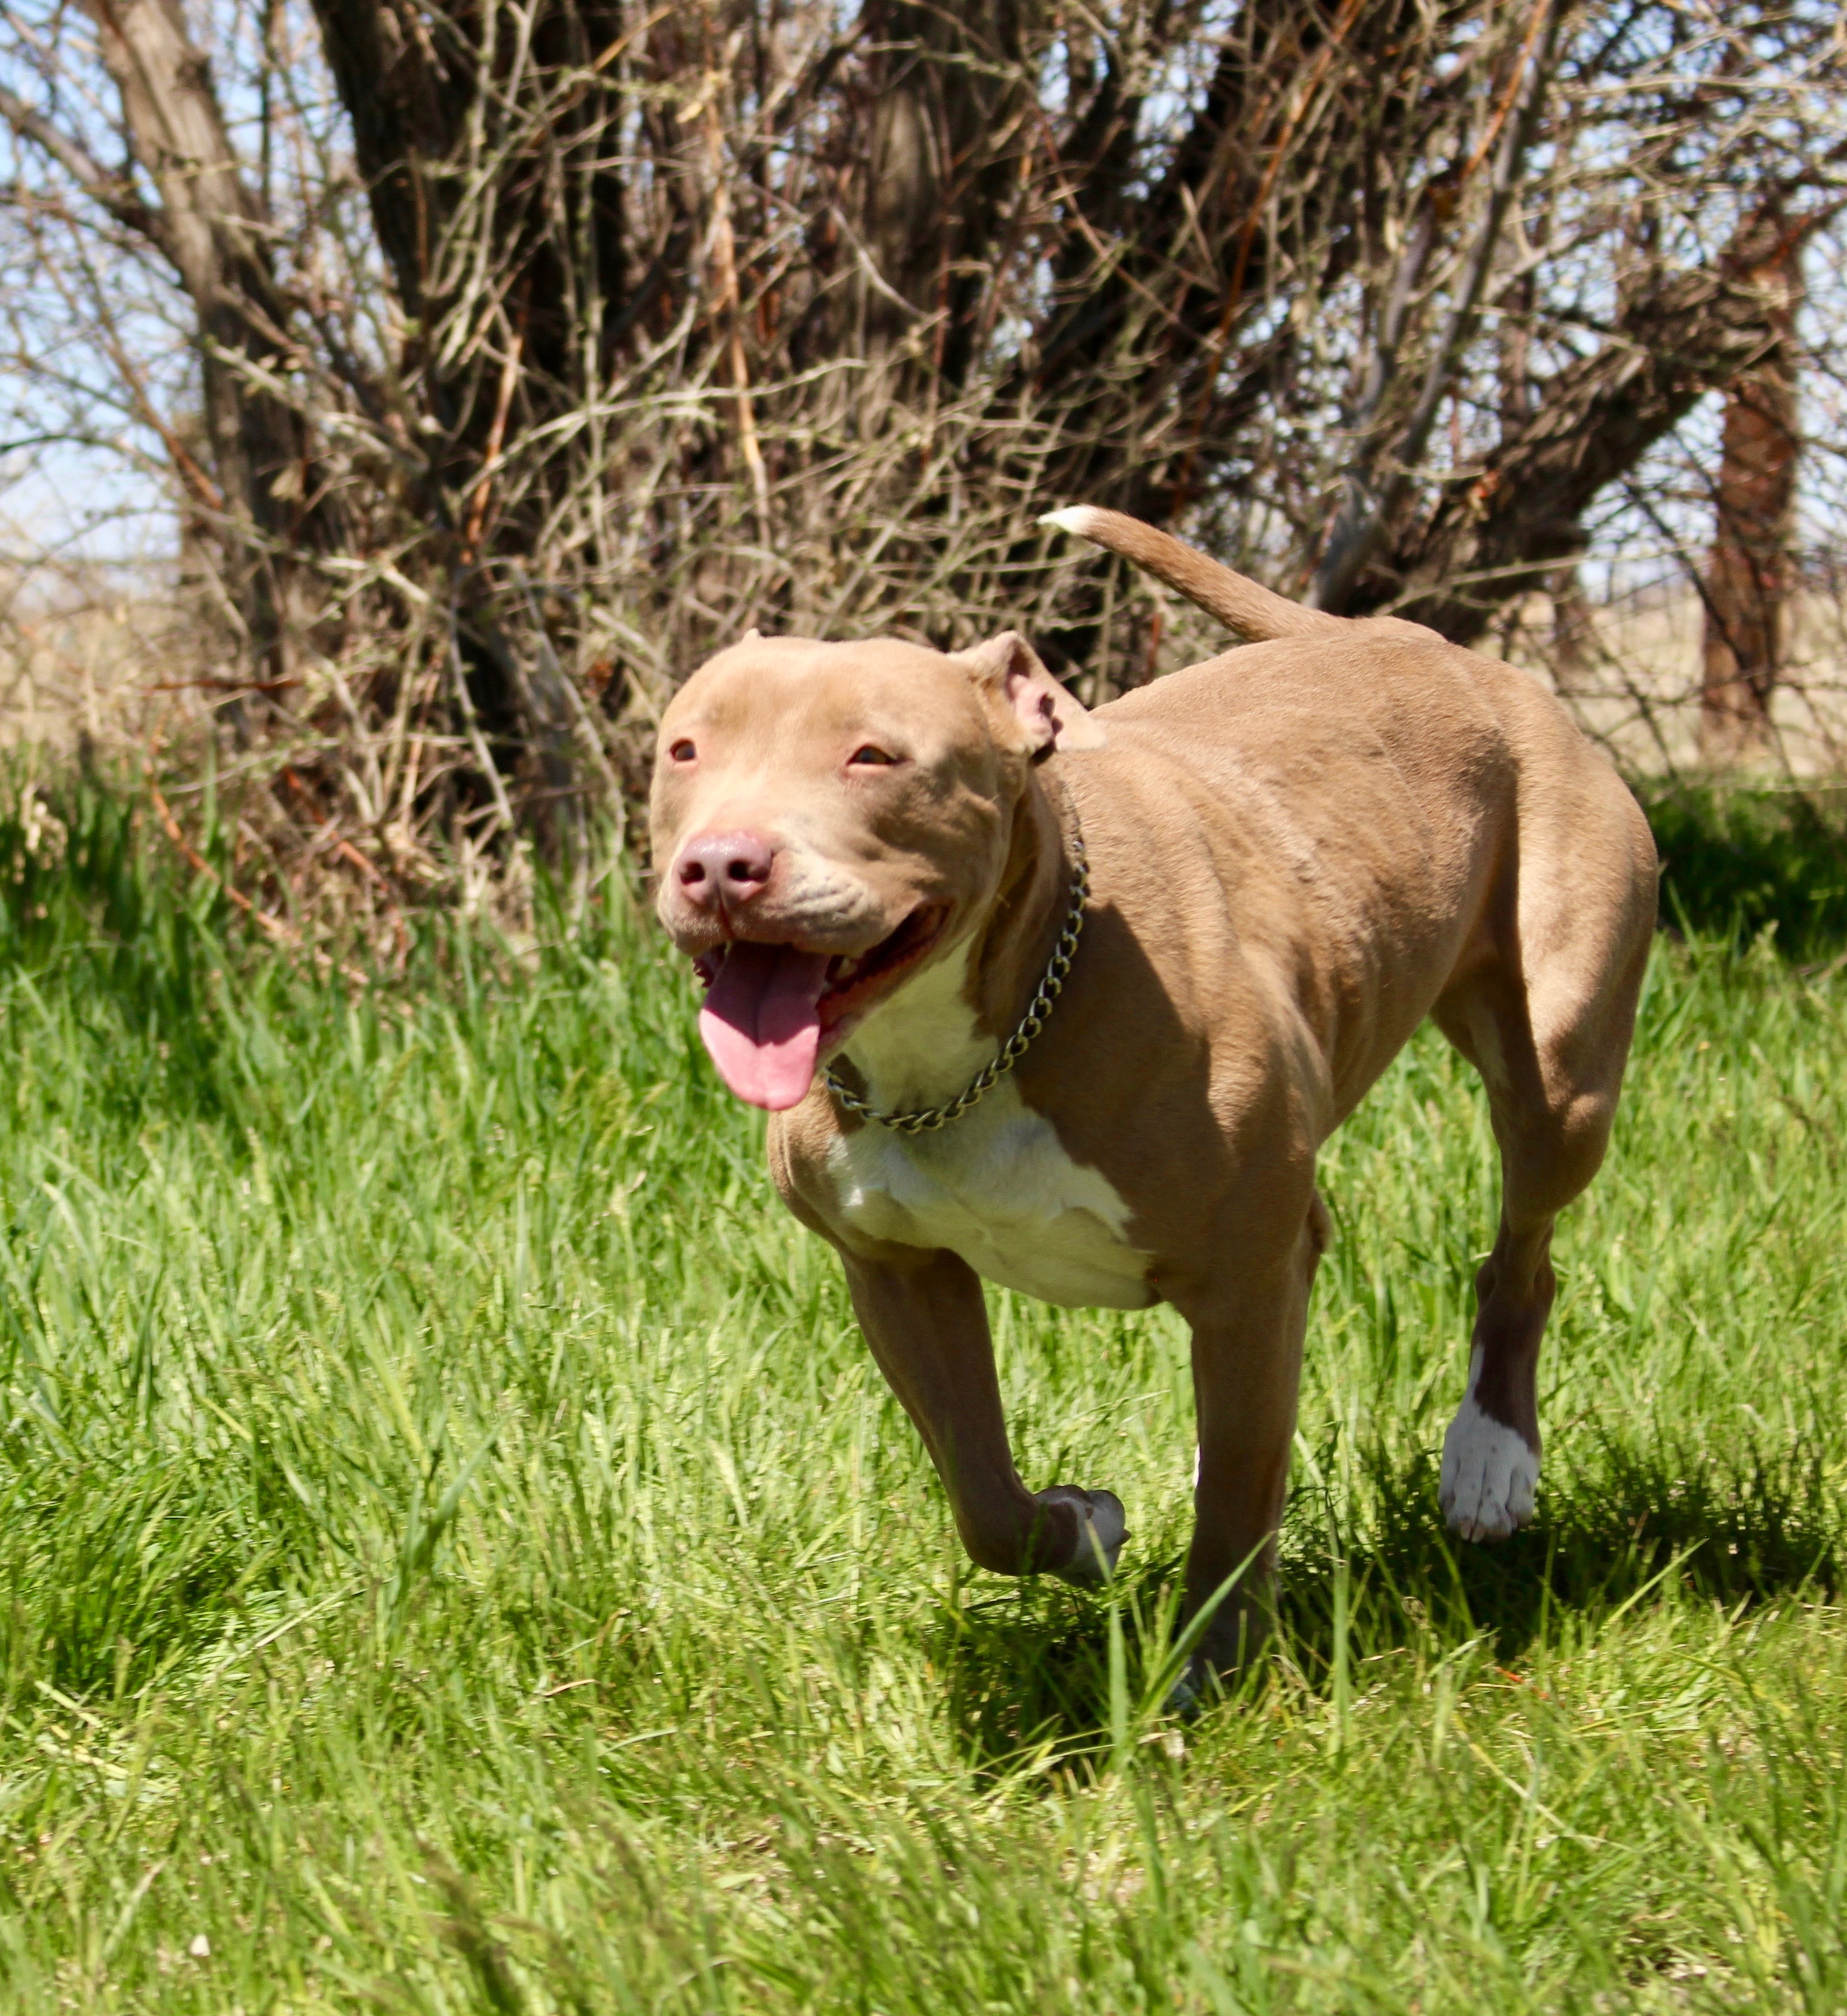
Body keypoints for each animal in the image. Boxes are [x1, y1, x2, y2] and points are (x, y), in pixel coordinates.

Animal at [649, 508, 1661, 1685]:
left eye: (873, 756)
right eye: (684, 749)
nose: (722, 865)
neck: (968, 1049)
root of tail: (1420, 640)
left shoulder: (1252, 1276)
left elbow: (1235, 1489)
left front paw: (1212, 1674)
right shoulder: (895, 1270)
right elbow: (981, 1496)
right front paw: (1079, 1527)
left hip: (1562, 1070)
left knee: (1524, 1255)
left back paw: (1489, 1458)